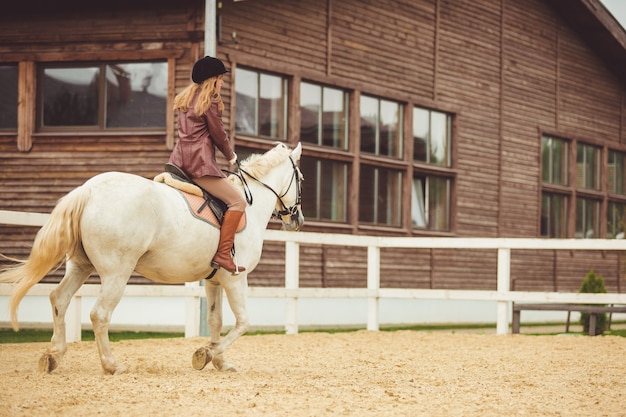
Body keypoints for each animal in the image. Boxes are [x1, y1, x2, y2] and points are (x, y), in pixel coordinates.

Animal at [0, 141, 302, 372]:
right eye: (301, 179)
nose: (297, 220)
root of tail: (89, 190)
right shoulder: (236, 279)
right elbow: (243, 322)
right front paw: (208, 354)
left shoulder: (214, 280)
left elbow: (215, 320)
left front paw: (218, 359)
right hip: (116, 273)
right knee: (99, 314)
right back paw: (111, 365)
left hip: (80, 266)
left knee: (59, 300)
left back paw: (53, 356)